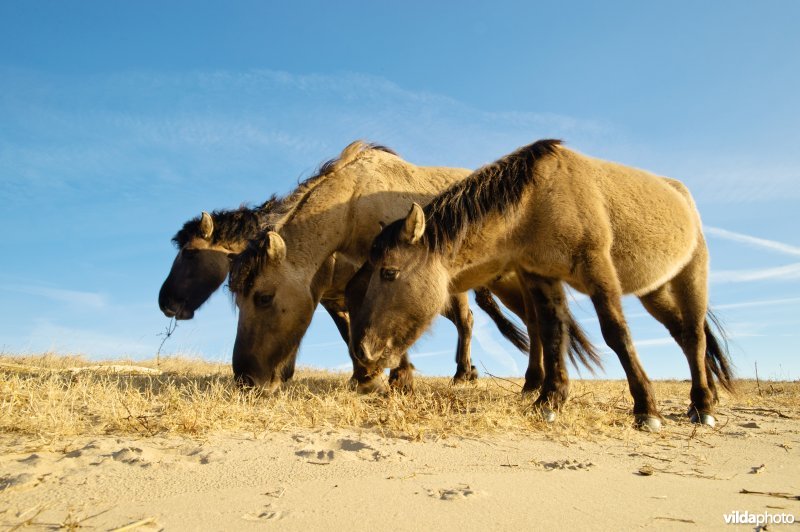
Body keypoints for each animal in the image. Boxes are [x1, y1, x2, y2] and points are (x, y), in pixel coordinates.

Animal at [227, 141, 600, 390]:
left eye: (264, 297)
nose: (246, 377)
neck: (355, 199)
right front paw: (376, 374)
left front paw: (383, 375)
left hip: (509, 281)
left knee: (528, 320)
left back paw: (525, 381)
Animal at [354, 138, 736, 432]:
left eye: (389, 272)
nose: (363, 351)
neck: (537, 199)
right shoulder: (541, 276)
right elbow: (552, 333)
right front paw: (550, 400)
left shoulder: (598, 271)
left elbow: (616, 334)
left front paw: (646, 408)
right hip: (654, 291)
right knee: (683, 335)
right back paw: (705, 397)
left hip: (689, 277)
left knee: (693, 336)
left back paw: (702, 405)